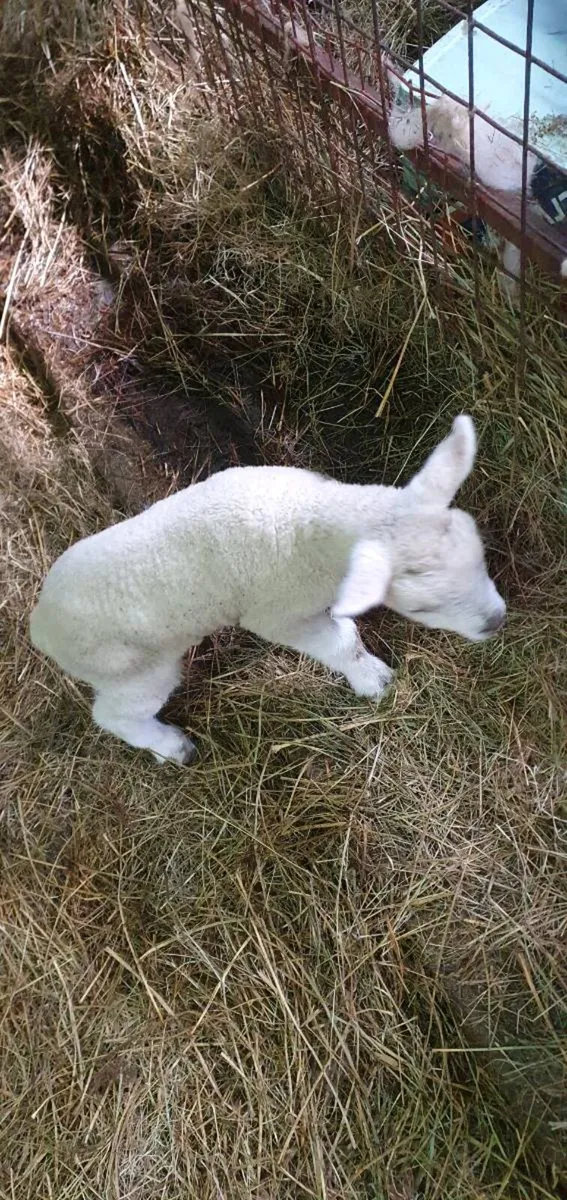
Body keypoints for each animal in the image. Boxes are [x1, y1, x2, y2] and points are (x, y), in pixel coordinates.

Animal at [30, 415, 506, 764]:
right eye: (424, 607)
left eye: (480, 555)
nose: (496, 622)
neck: (307, 520)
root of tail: (40, 624)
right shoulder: (280, 615)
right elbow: (342, 643)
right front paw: (374, 680)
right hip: (134, 670)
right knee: (115, 715)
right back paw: (172, 748)